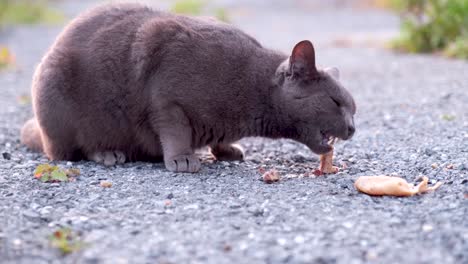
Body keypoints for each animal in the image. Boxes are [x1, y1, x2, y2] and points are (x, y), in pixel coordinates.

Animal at [19, 4, 354, 173]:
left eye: (353, 109)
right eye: (336, 102)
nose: (352, 127)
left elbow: (219, 139)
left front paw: (226, 150)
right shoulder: (166, 100)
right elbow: (175, 130)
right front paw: (182, 158)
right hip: (57, 93)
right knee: (67, 151)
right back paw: (108, 153)